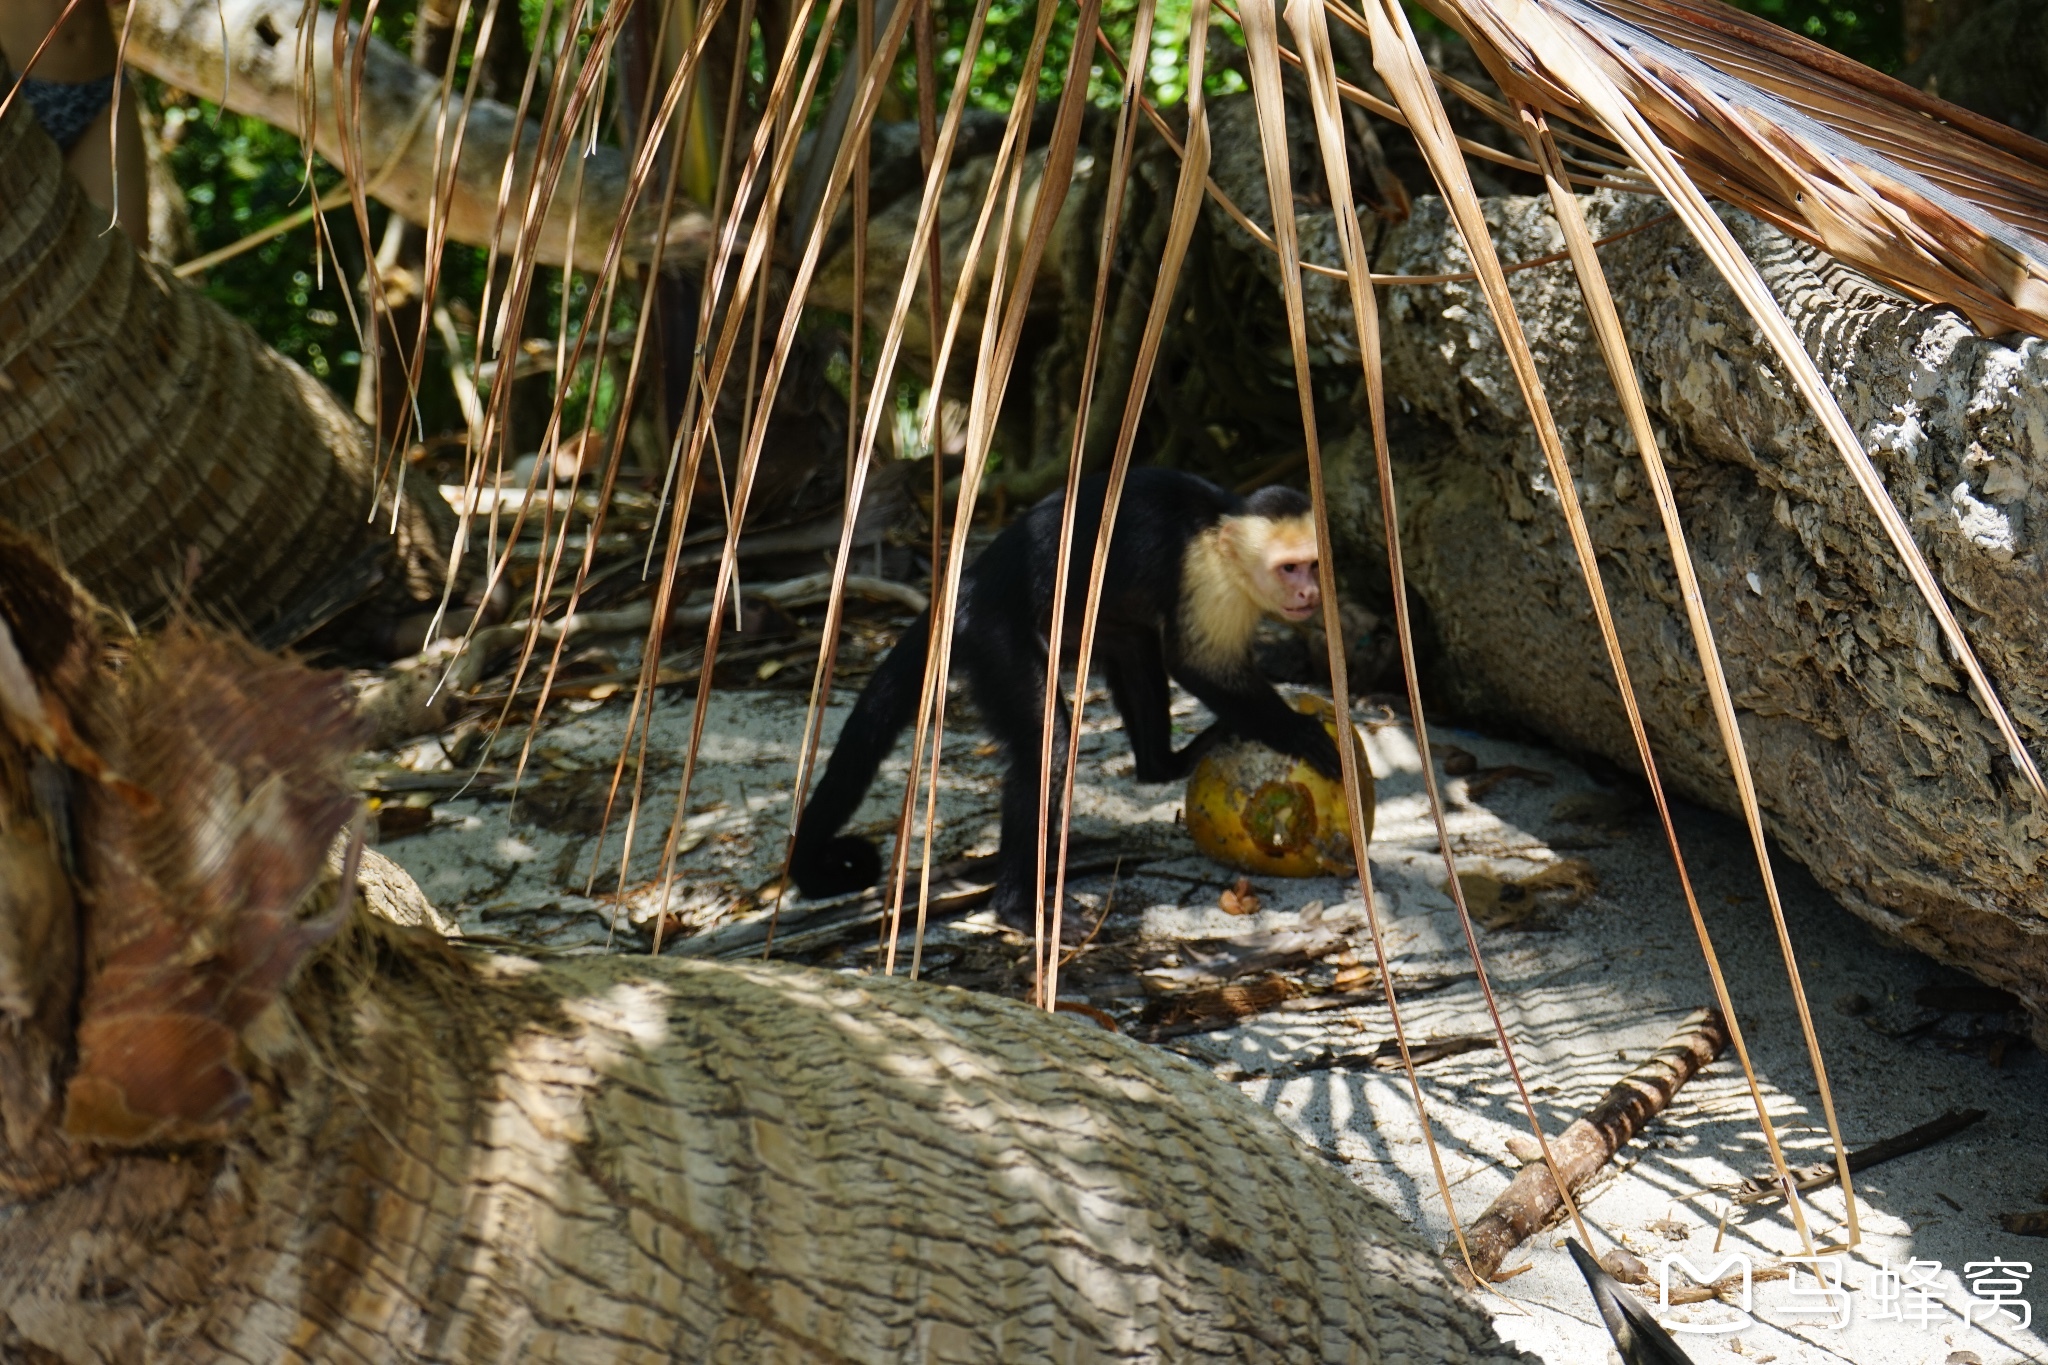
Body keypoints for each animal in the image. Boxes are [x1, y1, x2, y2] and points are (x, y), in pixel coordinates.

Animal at [786, 466, 1343, 929]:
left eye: (1314, 566)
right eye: (1289, 569)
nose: (1310, 595)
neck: (1220, 529)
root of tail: (966, 585)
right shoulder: (1209, 581)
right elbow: (1195, 662)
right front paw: (1298, 730)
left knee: (1134, 643)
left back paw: (1164, 763)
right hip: (993, 631)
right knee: (1046, 745)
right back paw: (1015, 908)